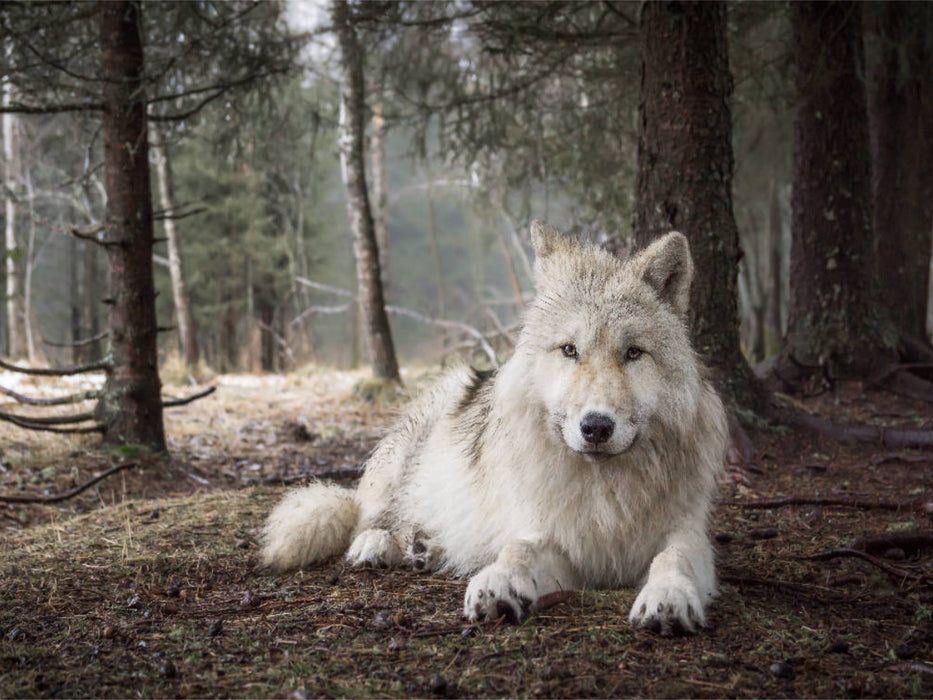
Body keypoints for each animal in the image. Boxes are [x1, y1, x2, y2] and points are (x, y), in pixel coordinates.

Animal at [262, 221, 728, 634]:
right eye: (569, 350)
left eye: (633, 353)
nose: (596, 426)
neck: (603, 491)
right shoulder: (545, 533)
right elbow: (516, 550)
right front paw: (497, 581)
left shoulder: (686, 531)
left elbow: (673, 559)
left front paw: (668, 596)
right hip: (403, 456)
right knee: (365, 515)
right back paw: (379, 545)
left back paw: (425, 548)